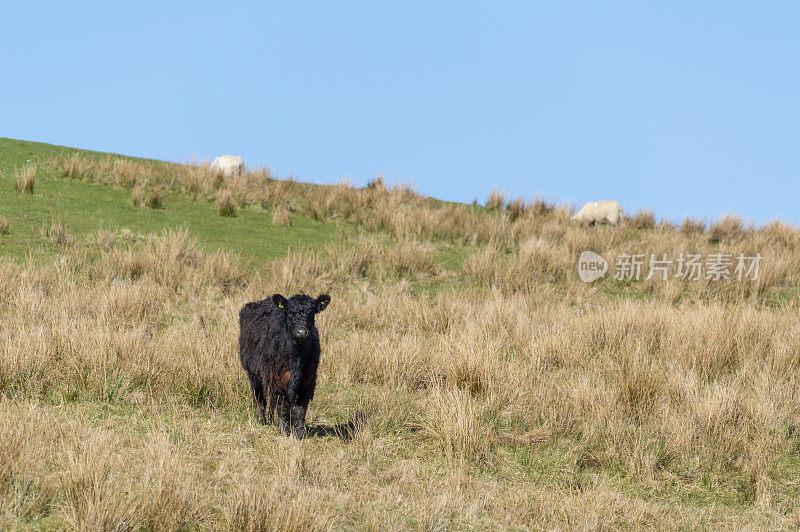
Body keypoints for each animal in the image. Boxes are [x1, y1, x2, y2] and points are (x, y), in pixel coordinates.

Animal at [238, 294, 328, 438]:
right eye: (290, 313)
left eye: (311, 313)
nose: (302, 332)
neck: (296, 357)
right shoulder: (278, 380)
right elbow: (282, 407)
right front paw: (284, 430)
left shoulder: (308, 381)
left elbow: (300, 410)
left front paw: (299, 433)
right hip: (253, 373)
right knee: (259, 398)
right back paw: (262, 420)